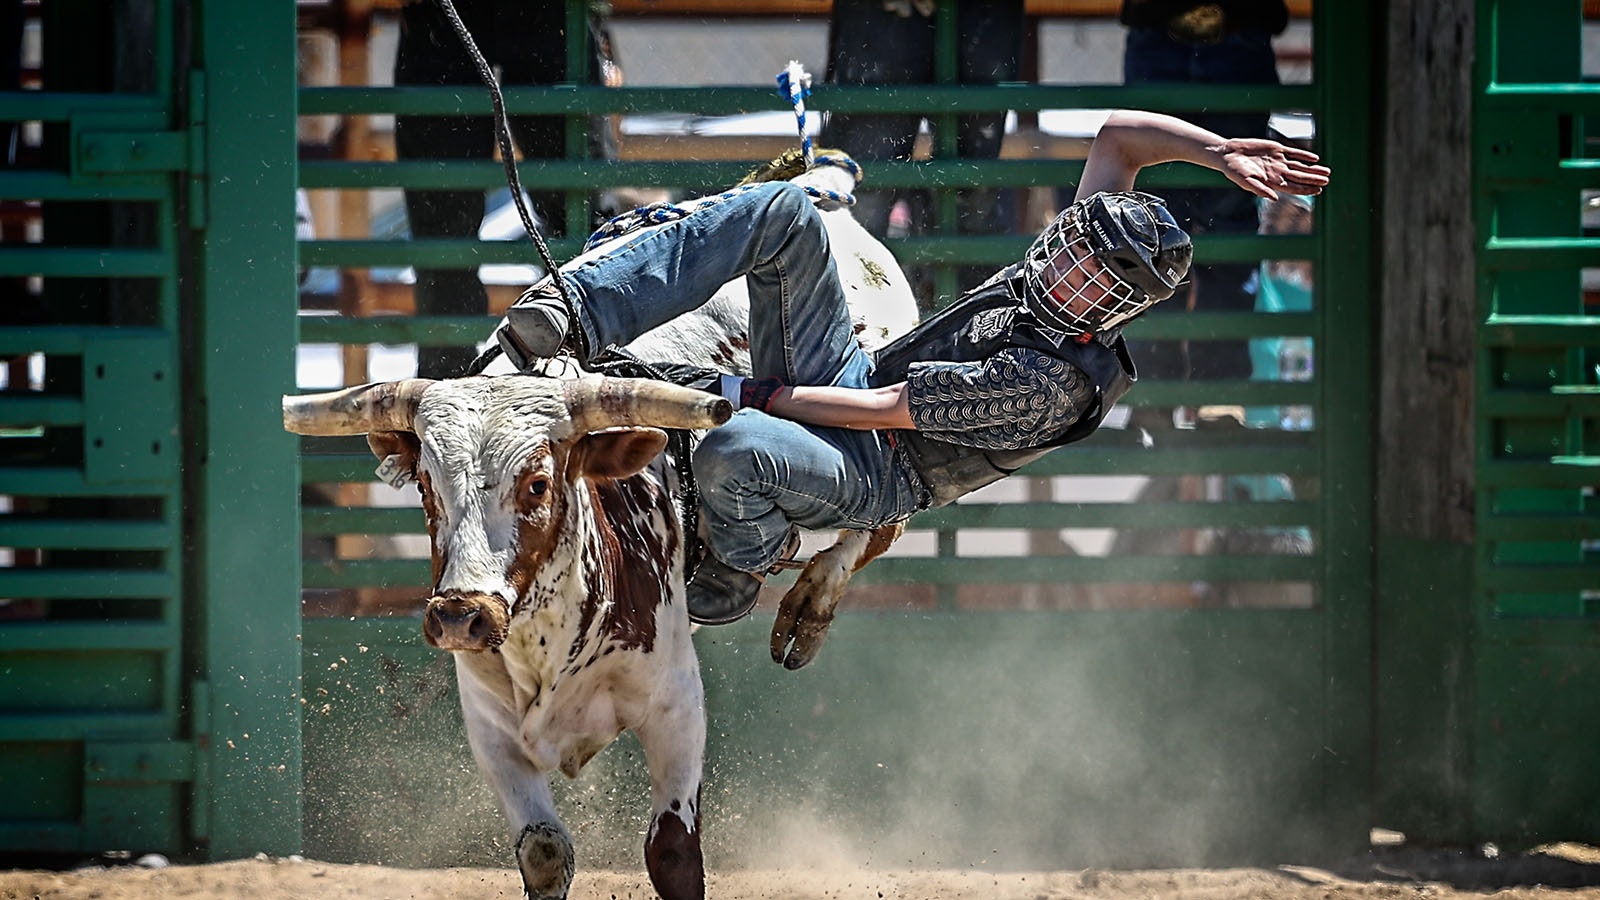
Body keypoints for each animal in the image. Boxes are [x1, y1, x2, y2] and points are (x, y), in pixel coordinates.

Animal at [281, 160, 921, 896]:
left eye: (536, 482)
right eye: (426, 486)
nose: (459, 616)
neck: (547, 637)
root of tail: (826, 198)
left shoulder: (676, 704)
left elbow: (672, 850)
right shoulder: (490, 727)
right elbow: (543, 850)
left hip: (861, 439)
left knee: (876, 523)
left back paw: (810, 602)